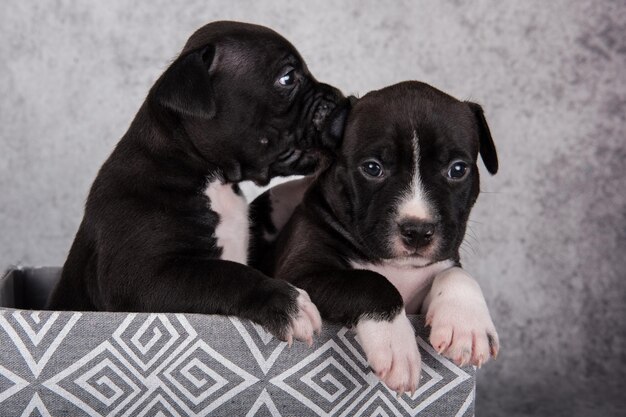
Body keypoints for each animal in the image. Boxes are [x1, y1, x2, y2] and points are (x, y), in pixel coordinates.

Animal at [46, 20, 344, 344]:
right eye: (288, 78)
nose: (339, 96)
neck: (212, 177)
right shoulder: (141, 278)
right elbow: (223, 274)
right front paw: (287, 302)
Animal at [251, 81, 500, 394]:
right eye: (372, 168)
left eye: (458, 169)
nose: (418, 231)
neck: (396, 266)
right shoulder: (301, 274)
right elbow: (371, 281)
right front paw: (397, 345)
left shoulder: (439, 268)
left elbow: (457, 274)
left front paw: (466, 324)